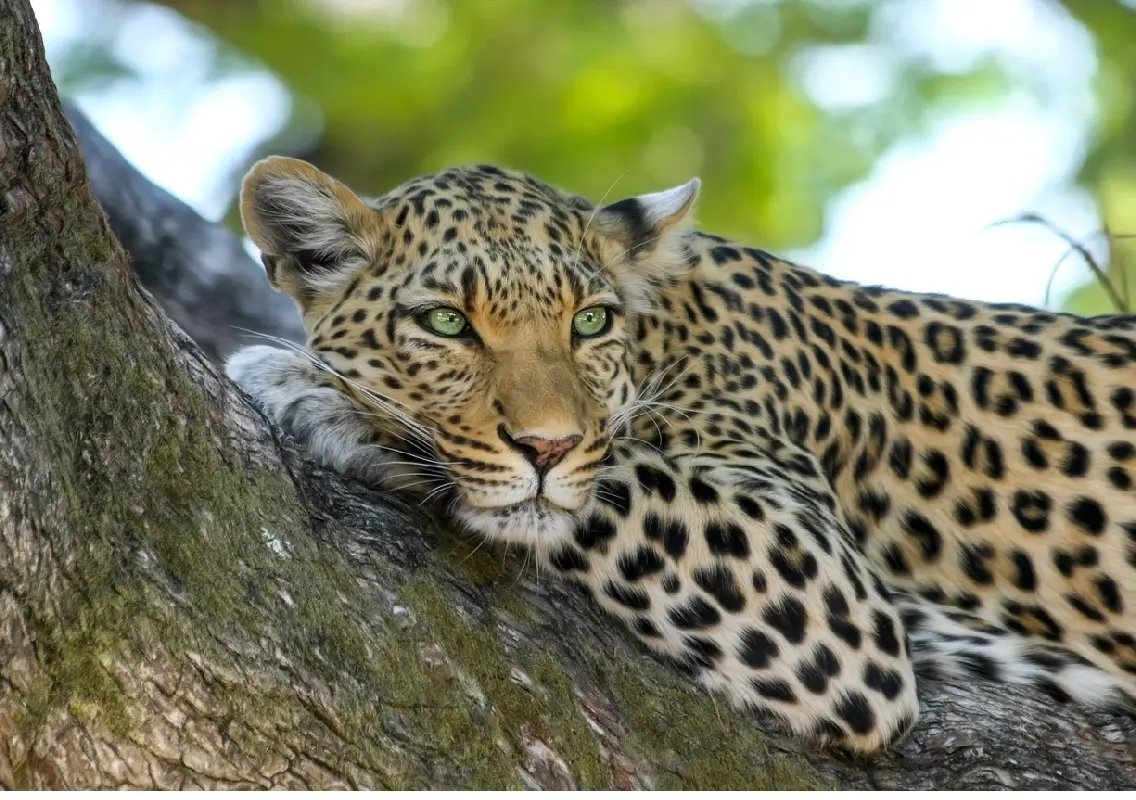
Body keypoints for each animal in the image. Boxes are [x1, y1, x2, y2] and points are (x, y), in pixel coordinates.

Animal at [225, 155, 1136, 754]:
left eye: (589, 321)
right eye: (447, 323)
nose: (548, 444)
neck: (666, 333)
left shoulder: (828, 589)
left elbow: (613, 478)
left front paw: (317, 391)